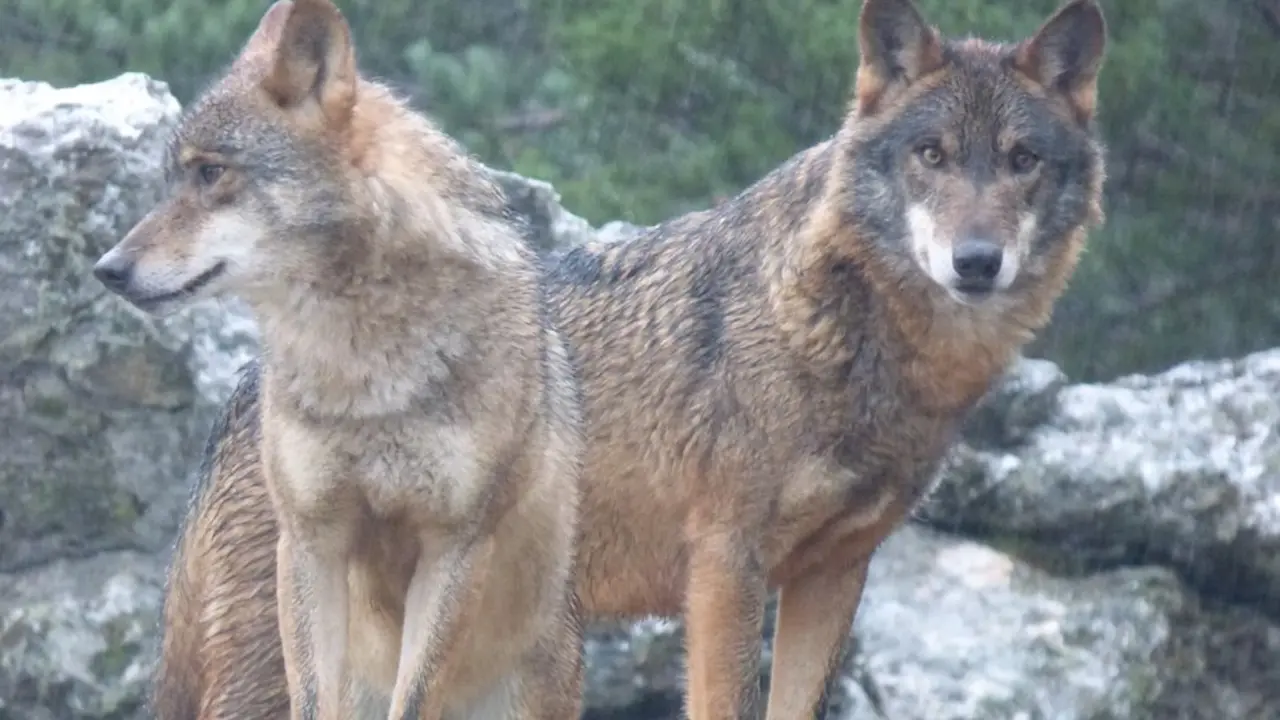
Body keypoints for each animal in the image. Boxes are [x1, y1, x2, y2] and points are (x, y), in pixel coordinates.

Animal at [90, 0, 587, 718]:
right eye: (171, 181)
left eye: (211, 173)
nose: (107, 269)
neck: (361, 372)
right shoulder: (311, 543)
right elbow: (314, 697)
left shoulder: (453, 548)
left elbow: (414, 698)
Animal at [142, 0, 1108, 718]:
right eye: (930, 154)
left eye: (1022, 160)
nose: (976, 262)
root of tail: (245, 387)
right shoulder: (725, 567)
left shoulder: (835, 574)